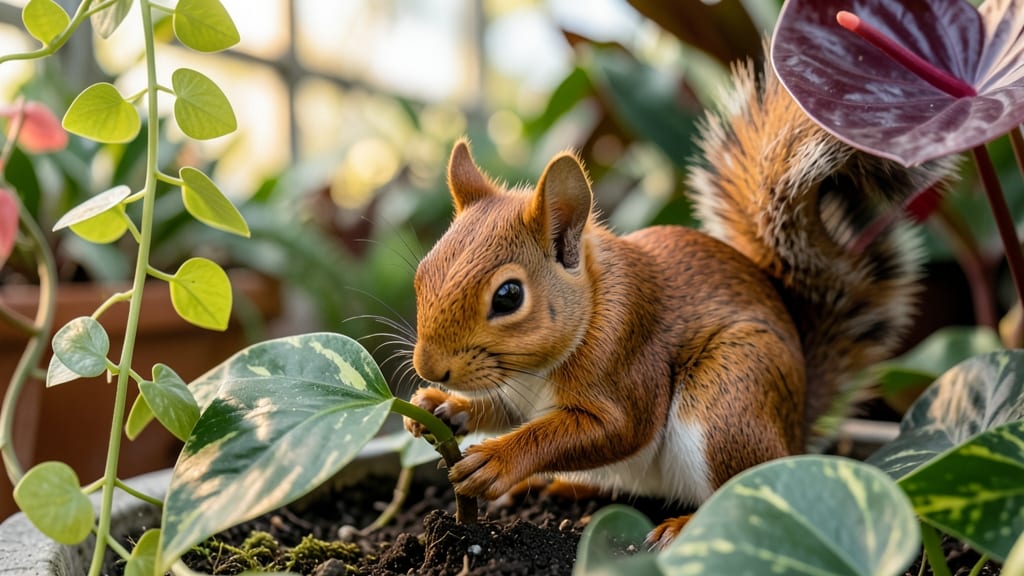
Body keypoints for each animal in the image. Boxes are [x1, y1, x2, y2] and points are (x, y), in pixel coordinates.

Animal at [403, 60, 955, 546]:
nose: (430, 368)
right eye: (421, 272)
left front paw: (497, 460)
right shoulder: (515, 391)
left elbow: (613, 428)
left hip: (729, 395)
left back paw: (683, 528)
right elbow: (499, 409)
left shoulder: (627, 357)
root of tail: (795, 433)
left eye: (509, 296)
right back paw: (557, 484)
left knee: (741, 488)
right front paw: (437, 407)